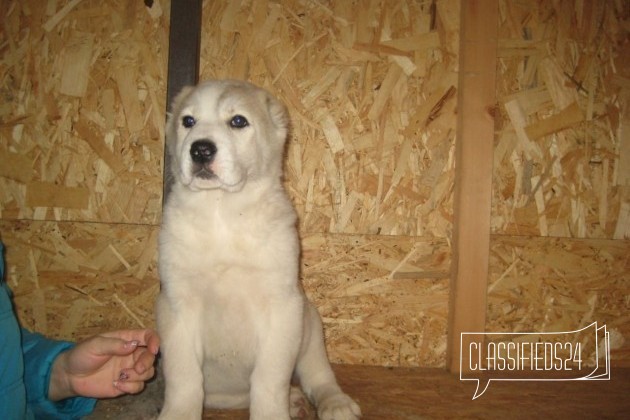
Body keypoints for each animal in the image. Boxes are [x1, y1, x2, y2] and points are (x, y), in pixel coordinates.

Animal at [156, 79, 362, 420]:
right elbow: (183, 377)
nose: (200, 148)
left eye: (238, 121)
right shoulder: (176, 306)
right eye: (188, 121)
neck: (222, 213)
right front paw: (178, 415)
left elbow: (269, 378)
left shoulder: (282, 306)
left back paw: (334, 402)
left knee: (318, 374)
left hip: (310, 325)